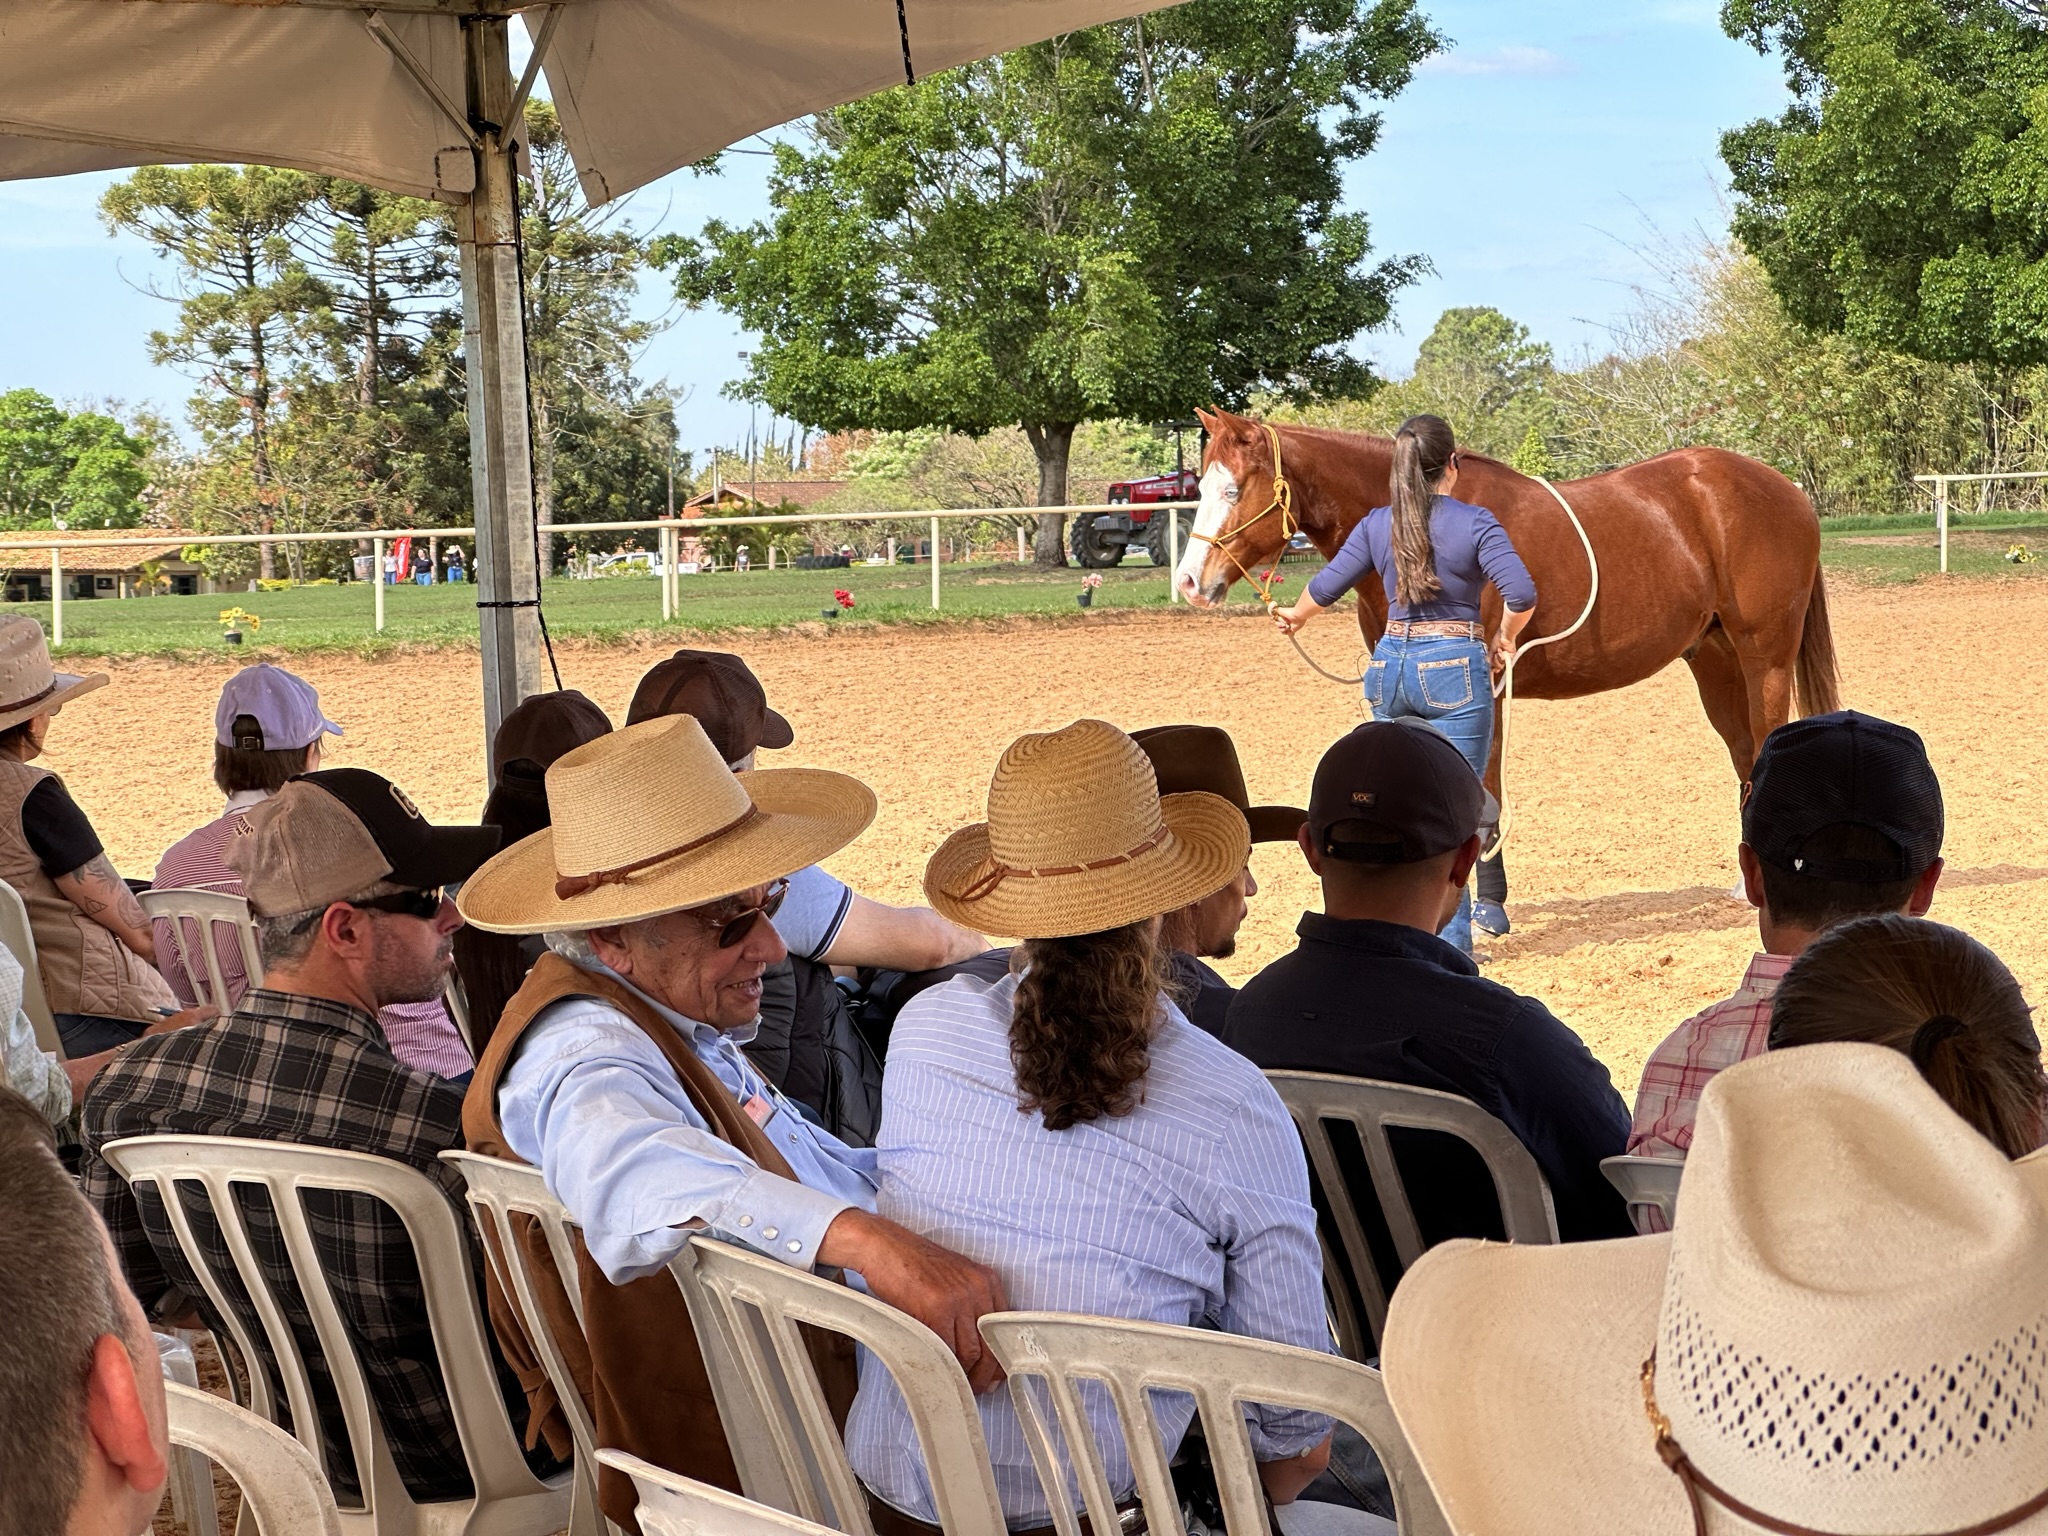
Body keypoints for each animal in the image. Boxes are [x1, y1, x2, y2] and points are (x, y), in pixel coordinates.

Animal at [1171, 415, 1843, 901]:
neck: (1417, 518)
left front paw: (1487, 908)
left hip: (1765, 657)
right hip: (1714, 658)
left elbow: (1483, 791)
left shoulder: (1486, 684)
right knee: (1745, 756)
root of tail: (1787, 490)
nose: (1188, 582)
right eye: (1197, 489)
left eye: (1233, 488)